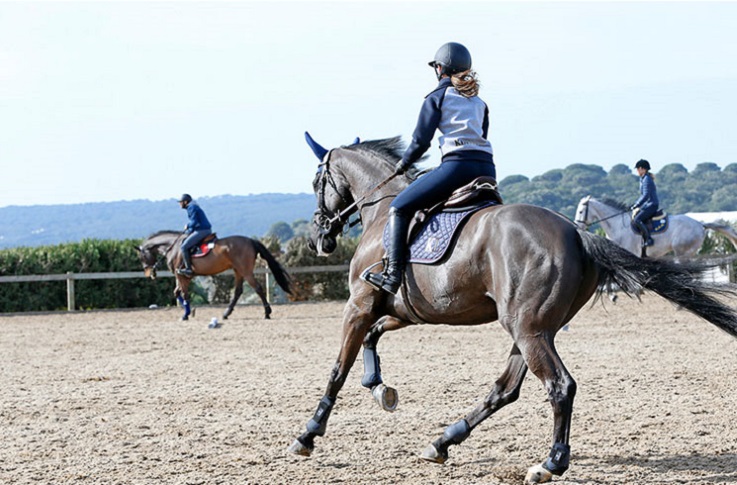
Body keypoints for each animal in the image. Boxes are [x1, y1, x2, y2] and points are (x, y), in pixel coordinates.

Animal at [136, 230, 292, 321]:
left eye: (142, 256)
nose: (149, 274)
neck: (173, 247)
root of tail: (251, 240)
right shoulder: (181, 277)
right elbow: (177, 293)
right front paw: (190, 311)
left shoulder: (182, 276)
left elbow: (184, 294)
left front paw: (186, 314)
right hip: (238, 271)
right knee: (238, 291)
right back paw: (226, 314)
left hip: (245, 271)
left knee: (258, 288)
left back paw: (267, 313)